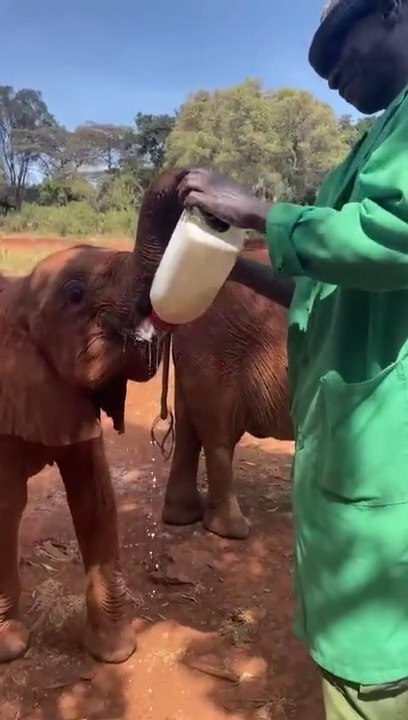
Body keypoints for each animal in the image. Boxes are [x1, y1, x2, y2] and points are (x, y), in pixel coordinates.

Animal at [132, 169, 294, 540]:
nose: (185, 177)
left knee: (190, 426)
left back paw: (182, 517)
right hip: (217, 347)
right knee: (216, 432)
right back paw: (232, 531)